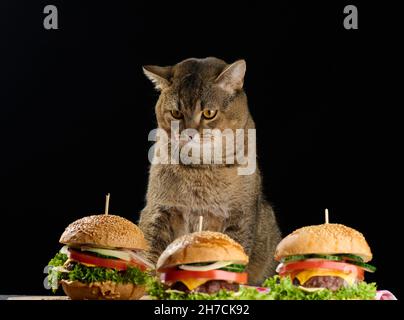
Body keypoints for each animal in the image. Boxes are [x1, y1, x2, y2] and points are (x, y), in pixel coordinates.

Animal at [139, 57, 280, 284]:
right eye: (176, 113)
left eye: (208, 113)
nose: (189, 133)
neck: (200, 168)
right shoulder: (158, 210)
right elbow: (151, 254)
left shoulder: (240, 216)